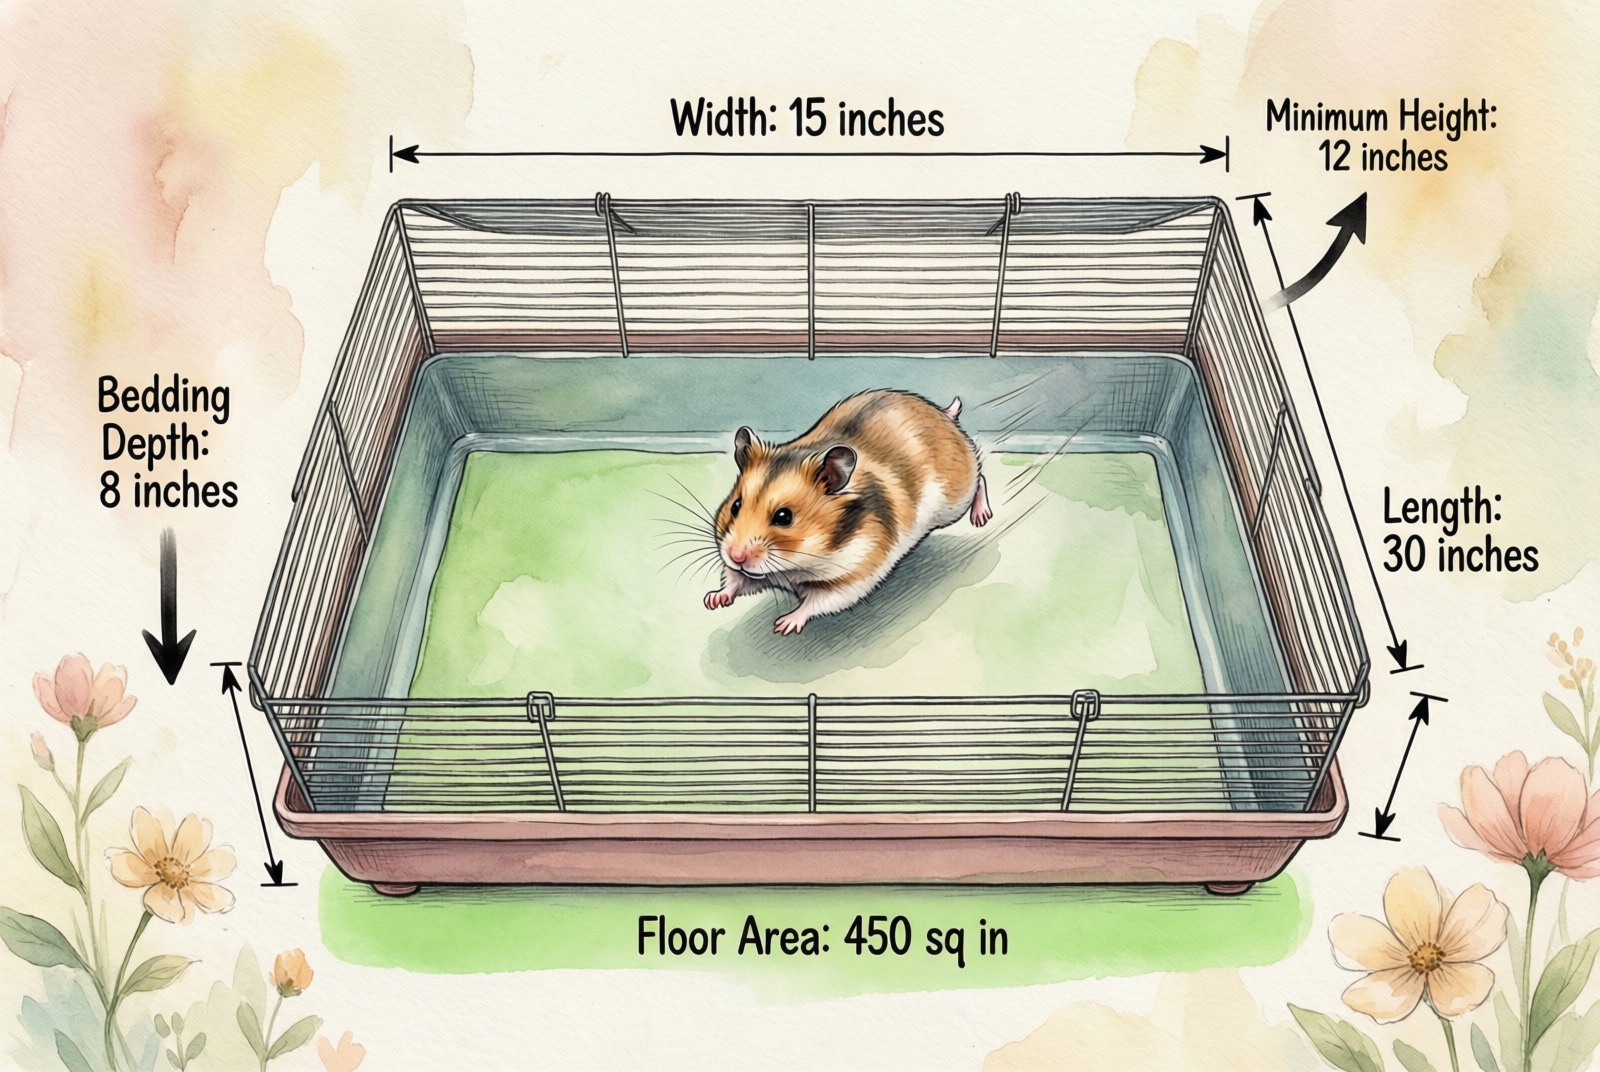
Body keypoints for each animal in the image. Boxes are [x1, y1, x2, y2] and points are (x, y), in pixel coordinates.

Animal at [704, 389, 992, 635]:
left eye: (784, 517)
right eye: (736, 505)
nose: (736, 555)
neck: (795, 567)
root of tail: (942, 414)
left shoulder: (857, 573)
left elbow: (818, 602)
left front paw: (783, 625)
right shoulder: (745, 571)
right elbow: (734, 580)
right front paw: (712, 600)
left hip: (956, 498)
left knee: (980, 478)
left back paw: (982, 517)